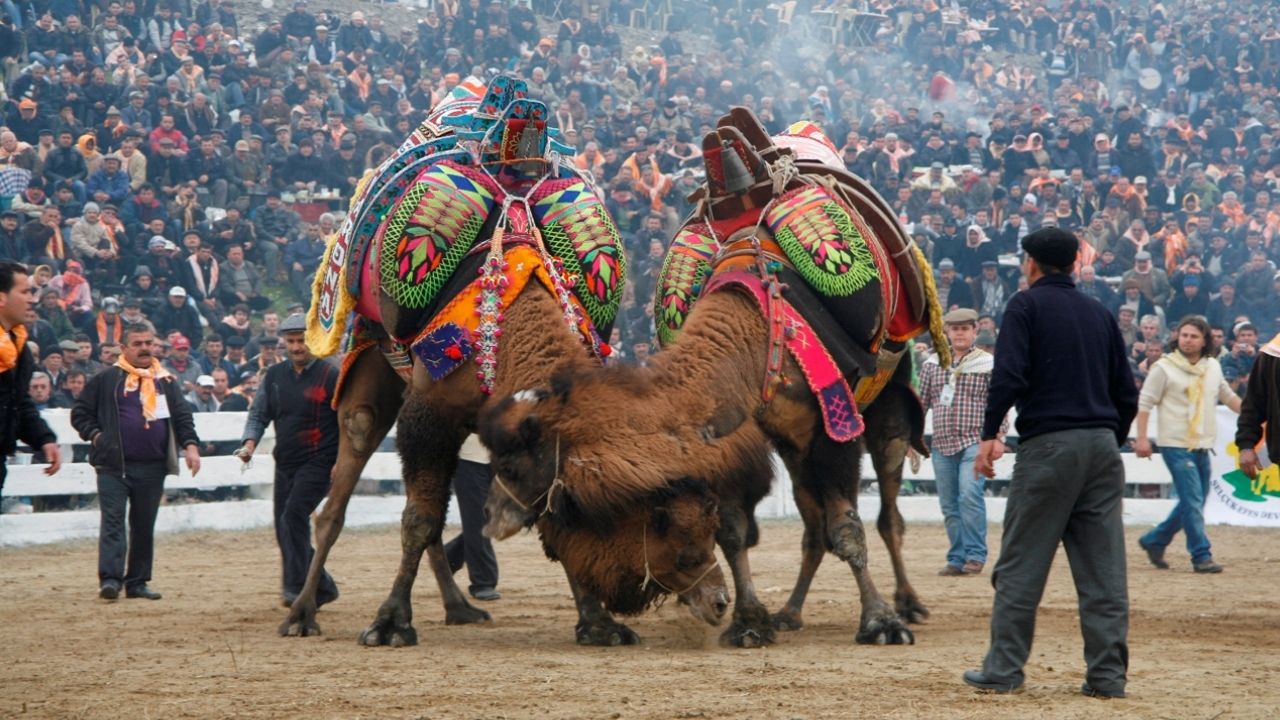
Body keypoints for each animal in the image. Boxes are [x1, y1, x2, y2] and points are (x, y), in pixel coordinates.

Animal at [282, 78, 732, 645]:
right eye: (655, 521)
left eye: (708, 519)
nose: (718, 599)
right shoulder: (429, 412)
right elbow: (418, 519)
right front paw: (389, 622)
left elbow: (541, 520)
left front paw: (597, 622)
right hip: (373, 351)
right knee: (341, 488)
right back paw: (301, 612)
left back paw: (459, 606)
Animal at [481, 110, 942, 645]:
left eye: (520, 465)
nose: (493, 515)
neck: (752, 341)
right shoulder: (738, 438)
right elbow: (735, 531)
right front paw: (749, 621)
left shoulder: (833, 429)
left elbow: (847, 527)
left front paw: (879, 621)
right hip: (794, 446)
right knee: (812, 526)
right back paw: (790, 611)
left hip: (888, 396)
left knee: (887, 507)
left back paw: (909, 603)